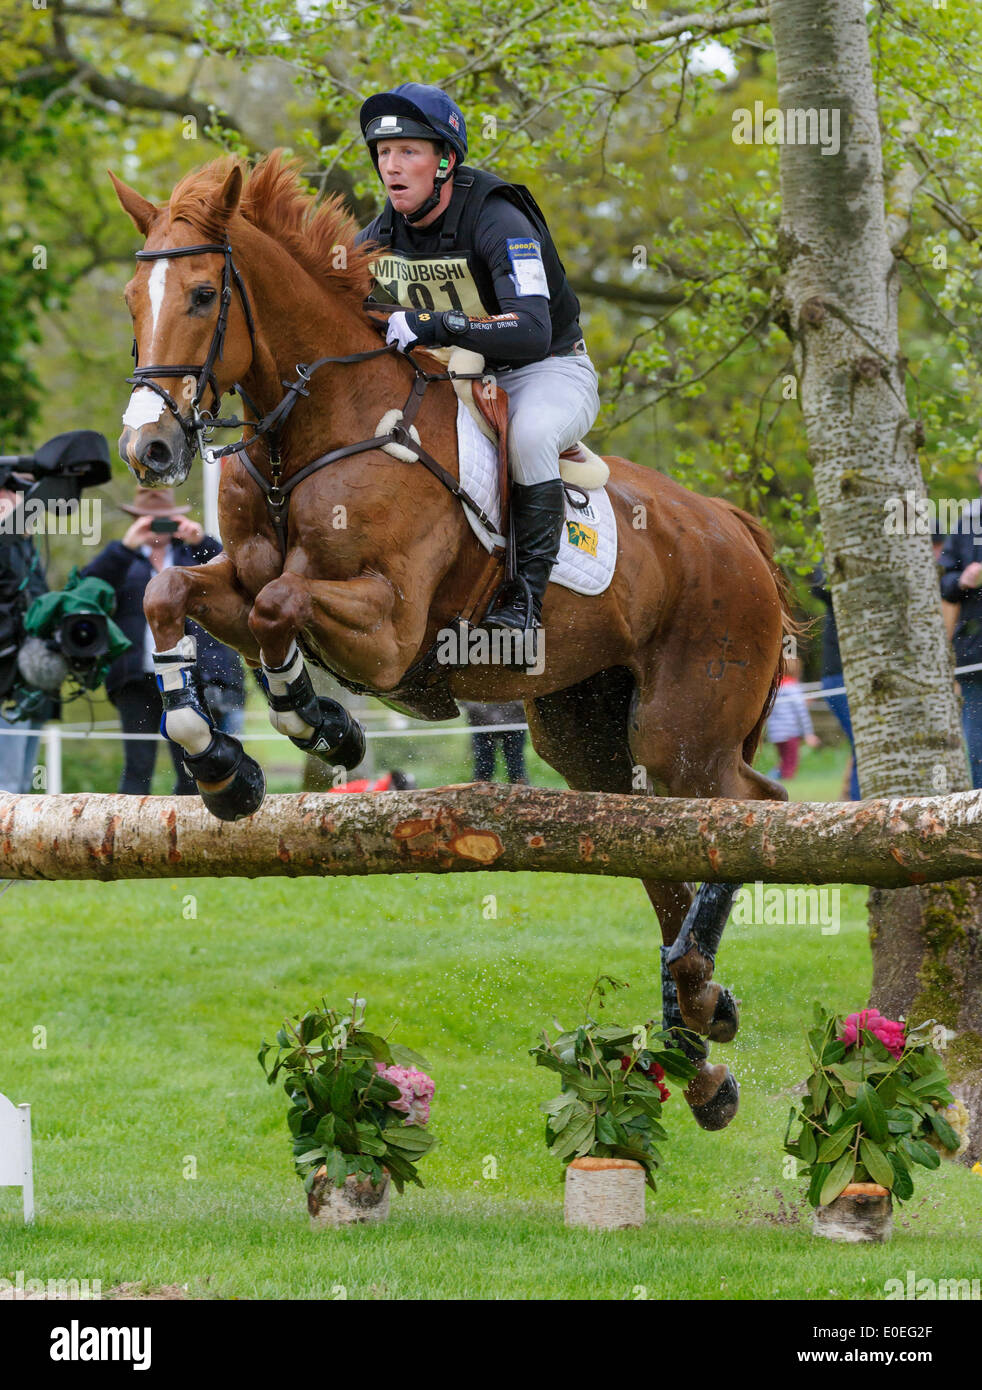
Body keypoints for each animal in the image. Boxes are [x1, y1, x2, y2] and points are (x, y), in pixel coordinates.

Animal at [111, 152, 790, 1128]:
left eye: (204, 295)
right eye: (134, 297)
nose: (151, 449)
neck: (312, 432)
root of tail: (735, 528)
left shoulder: (391, 628)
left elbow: (281, 606)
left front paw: (320, 727)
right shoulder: (231, 577)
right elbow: (173, 594)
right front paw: (225, 769)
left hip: (684, 730)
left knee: (750, 813)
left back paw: (697, 993)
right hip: (585, 736)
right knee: (659, 857)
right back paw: (698, 1043)